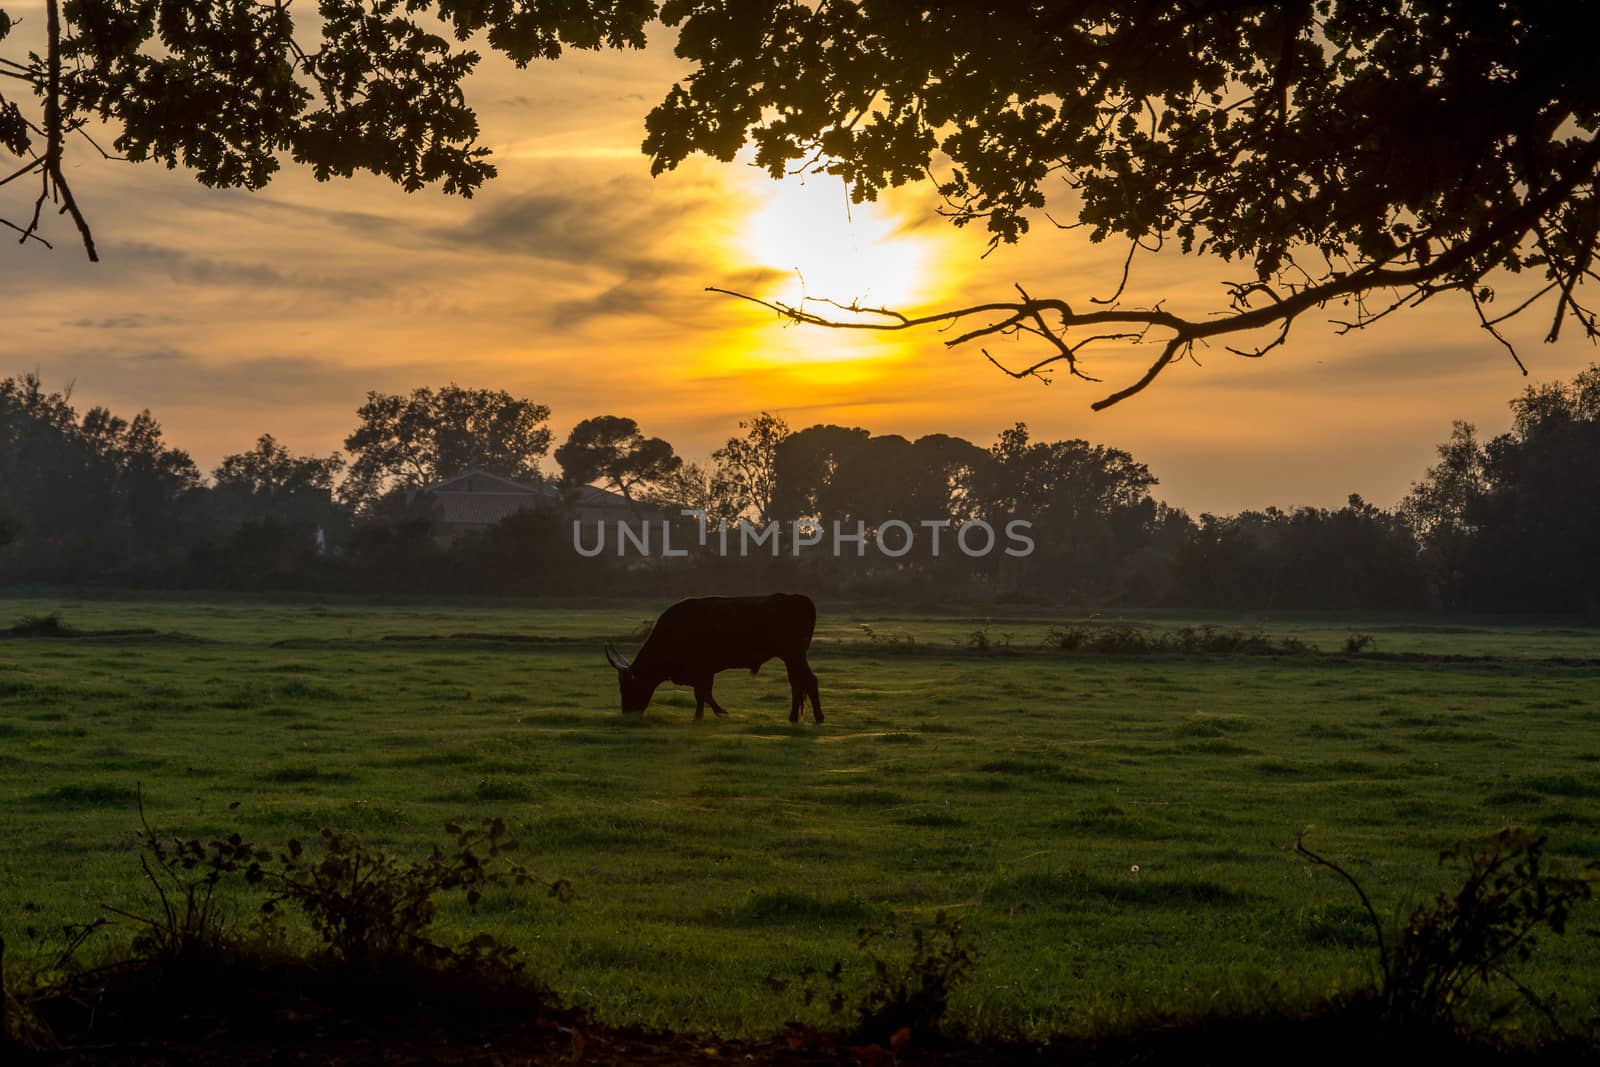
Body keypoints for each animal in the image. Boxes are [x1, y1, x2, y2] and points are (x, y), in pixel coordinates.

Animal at [601, 591, 825, 726]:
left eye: (626, 687)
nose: (627, 714)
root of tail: (797, 598)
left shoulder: (702, 669)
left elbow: (701, 694)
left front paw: (702, 716)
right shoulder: (704, 672)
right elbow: (705, 694)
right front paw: (713, 713)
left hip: (794, 654)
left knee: (808, 681)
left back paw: (817, 718)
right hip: (792, 657)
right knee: (798, 682)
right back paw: (795, 718)